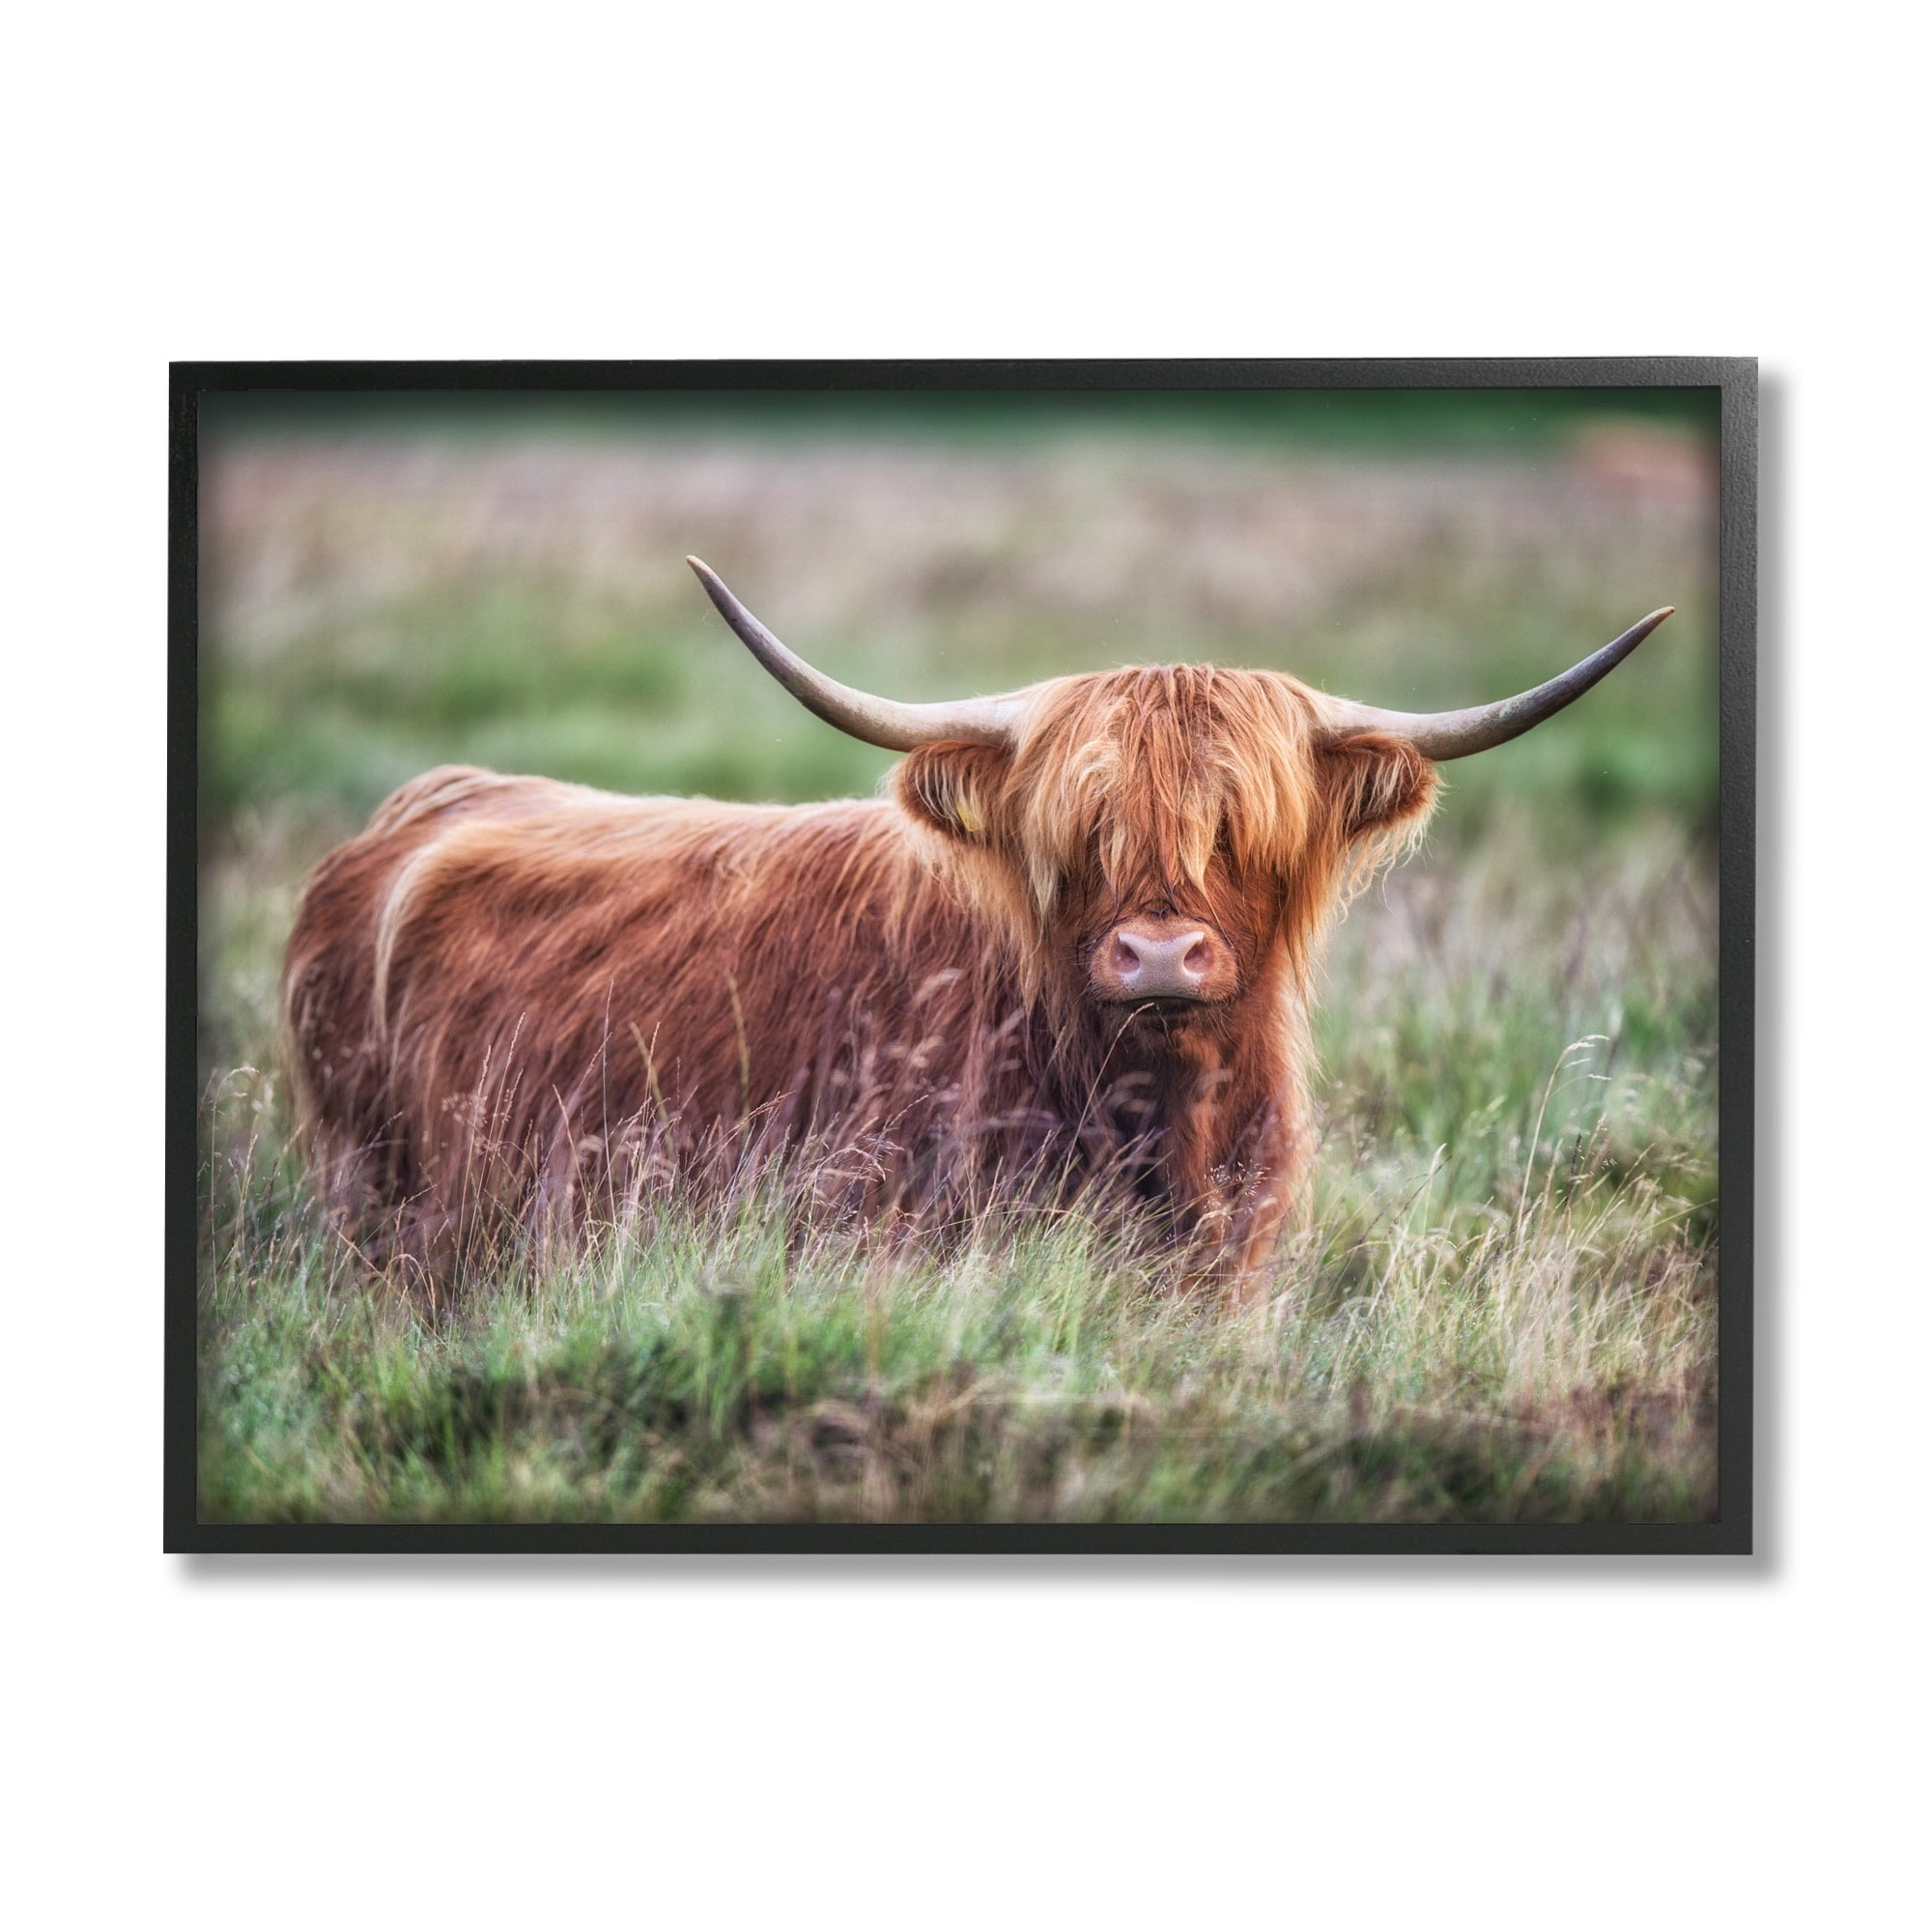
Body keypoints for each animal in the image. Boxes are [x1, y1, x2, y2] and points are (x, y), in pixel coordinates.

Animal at [280, 558, 1671, 1288]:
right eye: (1081, 830)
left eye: (1239, 827)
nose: (1156, 954)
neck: (1154, 1118)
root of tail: (433, 801)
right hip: (375, 1198)